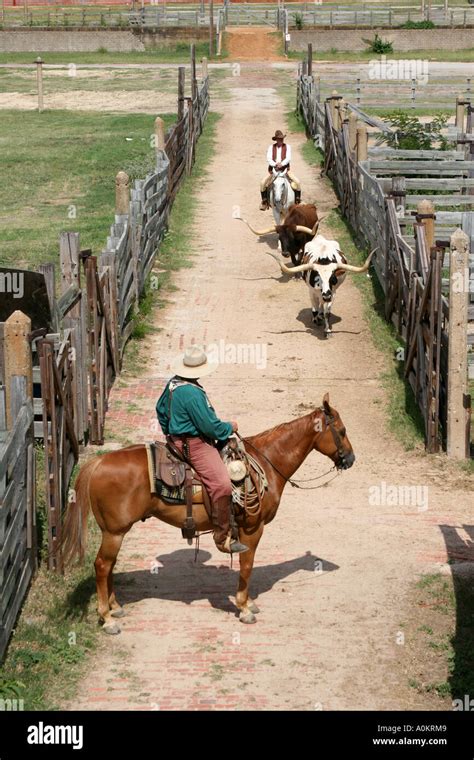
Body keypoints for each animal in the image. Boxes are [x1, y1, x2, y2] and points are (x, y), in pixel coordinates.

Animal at [62, 392, 352, 628]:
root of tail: (99, 462)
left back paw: (115, 607)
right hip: (115, 531)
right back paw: (107, 617)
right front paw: (244, 607)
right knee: (102, 565)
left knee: (109, 566)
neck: (267, 461)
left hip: (113, 532)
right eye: (342, 430)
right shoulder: (252, 528)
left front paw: (247, 603)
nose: (350, 458)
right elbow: (247, 565)